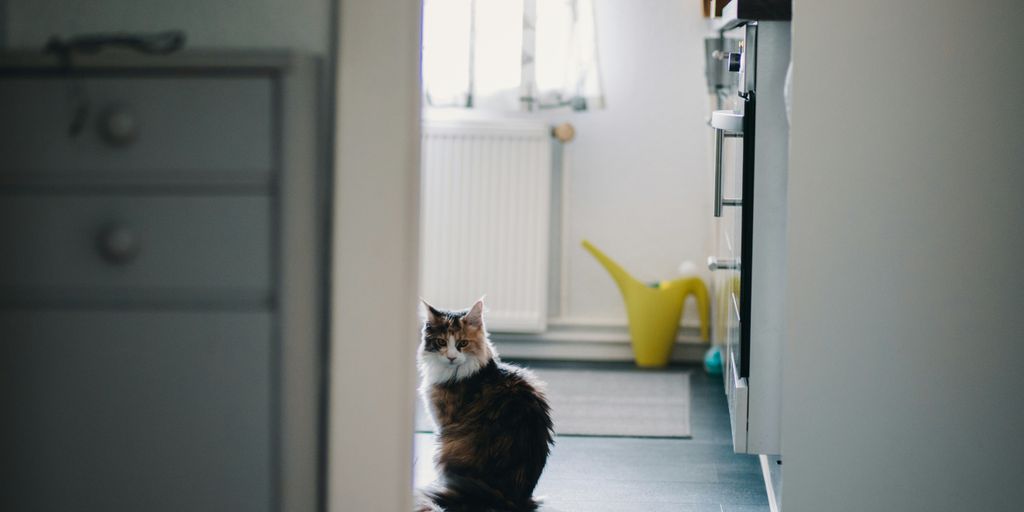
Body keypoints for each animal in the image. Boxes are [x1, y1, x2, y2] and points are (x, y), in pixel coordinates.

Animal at [415, 299, 557, 512]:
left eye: (462, 344)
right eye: (441, 342)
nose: (451, 357)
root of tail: (512, 498)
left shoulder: (442, 421)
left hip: (444, 447)